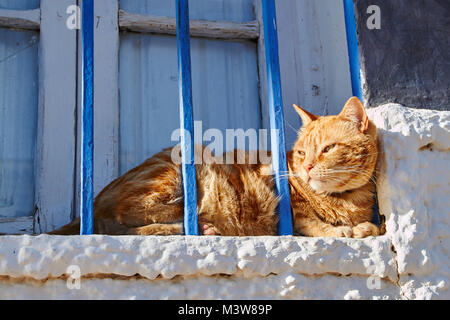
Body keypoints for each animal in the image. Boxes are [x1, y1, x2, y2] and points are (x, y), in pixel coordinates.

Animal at [50, 96, 380, 236]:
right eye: (301, 153)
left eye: (328, 149)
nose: (307, 168)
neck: (345, 200)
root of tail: (94, 200)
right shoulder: (287, 206)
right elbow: (311, 223)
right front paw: (343, 231)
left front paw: (362, 227)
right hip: (179, 166)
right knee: (126, 217)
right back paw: (196, 222)